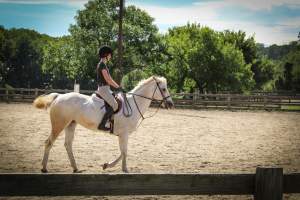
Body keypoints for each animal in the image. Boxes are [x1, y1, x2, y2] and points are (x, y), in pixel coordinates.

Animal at [32, 76, 173, 173]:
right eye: (164, 89)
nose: (171, 104)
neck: (133, 104)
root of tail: (58, 96)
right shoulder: (124, 134)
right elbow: (124, 152)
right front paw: (124, 169)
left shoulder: (122, 135)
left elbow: (122, 152)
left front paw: (107, 165)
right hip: (59, 125)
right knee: (49, 142)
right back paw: (44, 168)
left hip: (71, 124)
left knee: (67, 145)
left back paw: (75, 168)